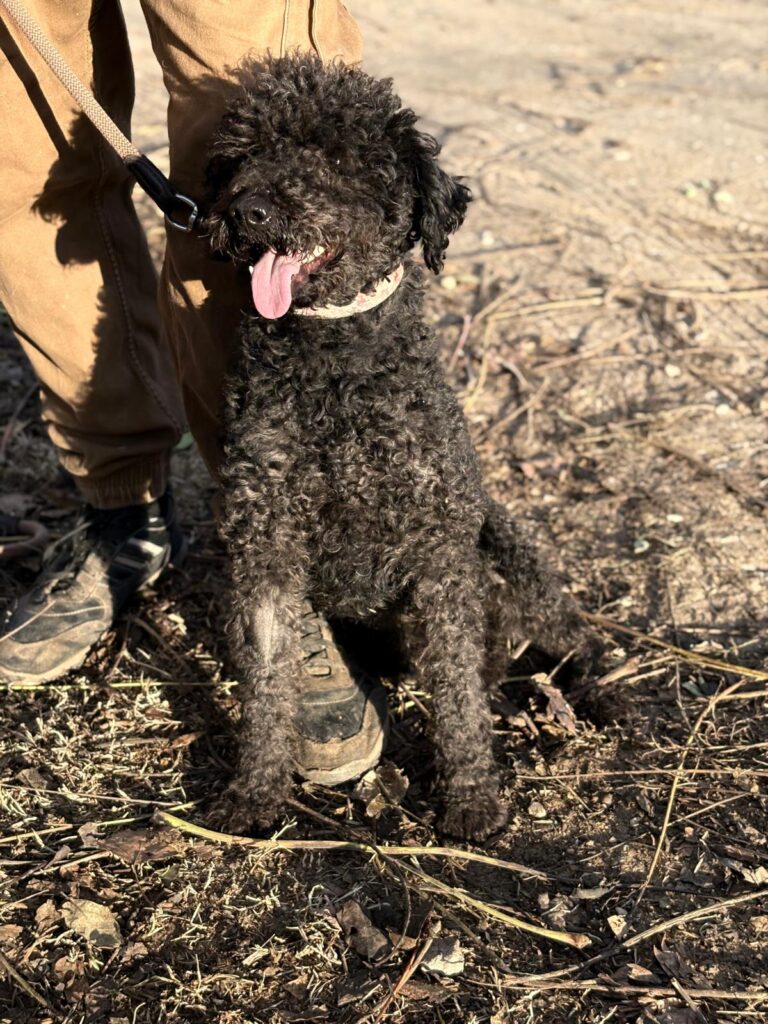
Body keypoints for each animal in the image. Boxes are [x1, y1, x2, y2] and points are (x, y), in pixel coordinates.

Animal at [205, 55, 594, 840]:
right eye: (243, 153)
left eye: (335, 157)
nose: (246, 210)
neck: (335, 362)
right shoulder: (264, 541)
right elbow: (265, 683)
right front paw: (256, 791)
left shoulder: (440, 546)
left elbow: (458, 698)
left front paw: (471, 795)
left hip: (503, 538)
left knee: (563, 635)